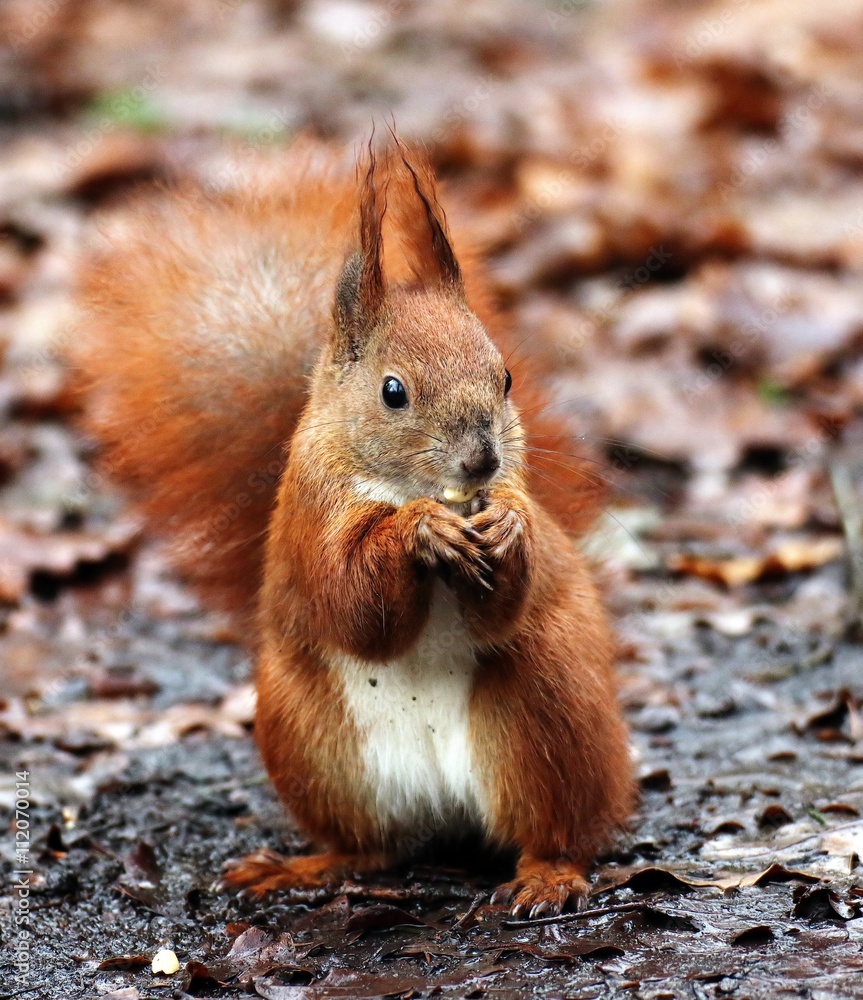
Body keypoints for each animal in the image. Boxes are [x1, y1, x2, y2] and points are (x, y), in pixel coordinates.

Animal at [70, 138, 635, 918]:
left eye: (506, 378)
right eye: (393, 392)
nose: (483, 459)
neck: (405, 486)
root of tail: (445, 812)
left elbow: (503, 602)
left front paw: (509, 526)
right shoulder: (312, 518)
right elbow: (353, 604)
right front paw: (420, 531)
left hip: (548, 714)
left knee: (554, 829)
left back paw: (546, 876)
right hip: (315, 748)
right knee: (373, 848)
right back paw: (304, 868)